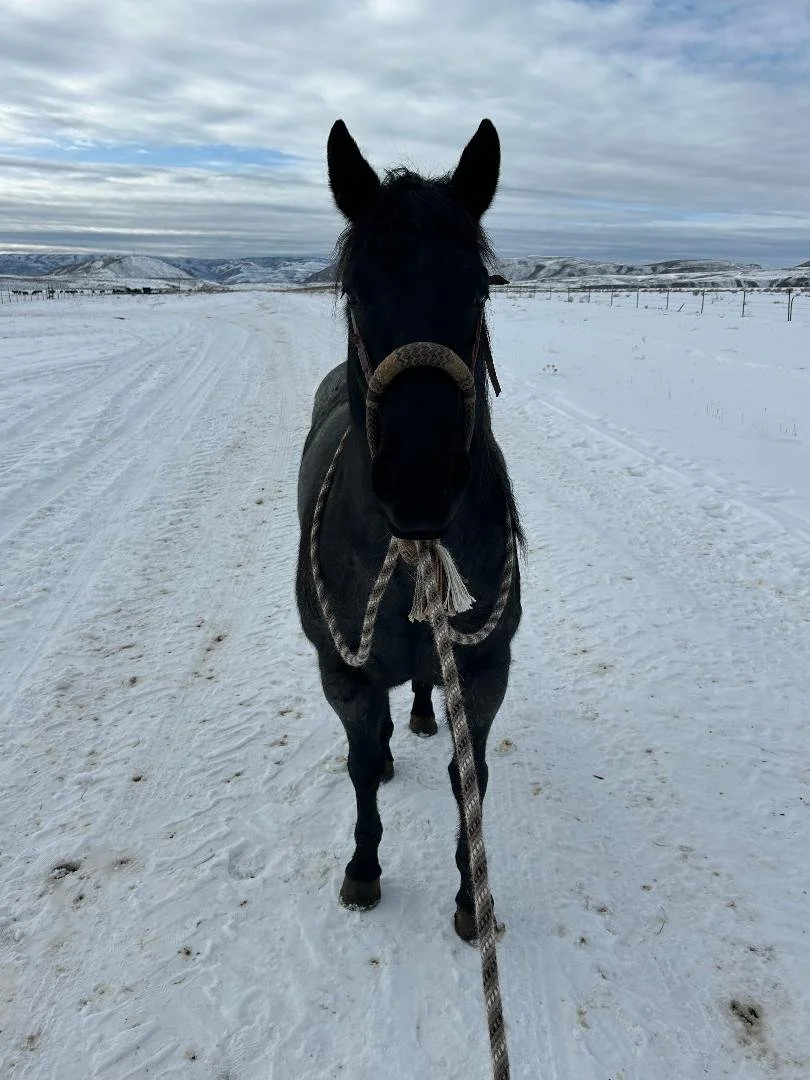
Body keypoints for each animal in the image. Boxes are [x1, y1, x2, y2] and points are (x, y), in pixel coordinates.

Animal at [296, 119, 522, 942]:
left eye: (479, 288)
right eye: (356, 290)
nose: (421, 482)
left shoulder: (485, 669)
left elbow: (470, 776)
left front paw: (469, 897)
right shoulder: (343, 673)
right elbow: (362, 764)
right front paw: (363, 869)